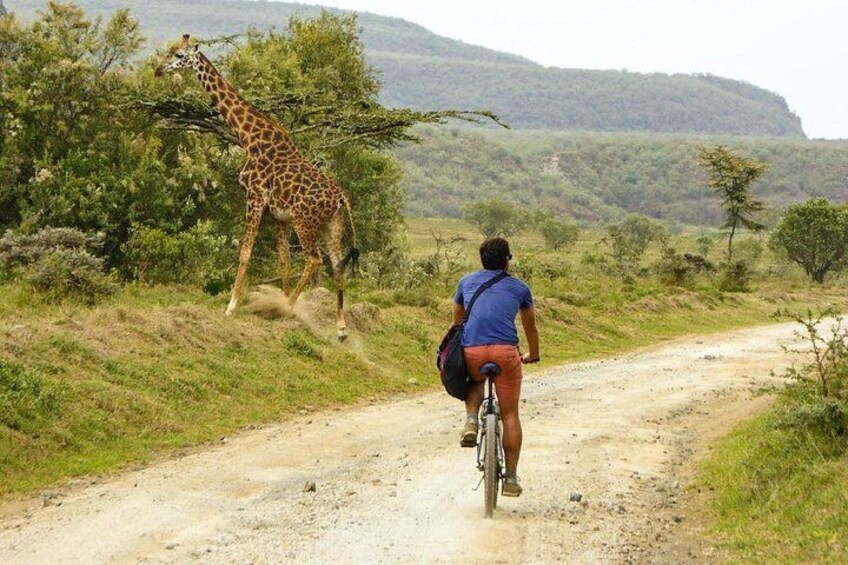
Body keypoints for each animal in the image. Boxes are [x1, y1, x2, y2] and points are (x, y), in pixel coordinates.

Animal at [155, 35, 359, 340]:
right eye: (169, 50)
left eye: (179, 55)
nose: (158, 70)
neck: (248, 136)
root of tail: (341, 197)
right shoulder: (277, 214)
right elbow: (284, 260)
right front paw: (278, 298)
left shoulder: (254, 197)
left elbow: (245, 252)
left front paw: (233, 306)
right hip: (332, 225)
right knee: (336, 264)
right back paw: (341, 327)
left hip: (305, 221)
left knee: (314, 260)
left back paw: (289, 307)